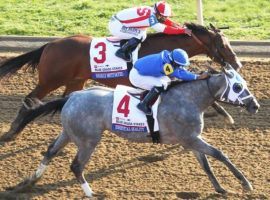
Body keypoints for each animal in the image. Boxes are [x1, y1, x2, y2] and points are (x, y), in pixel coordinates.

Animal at [0, 23, 240, 141]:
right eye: (222, 44)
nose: (236, 64)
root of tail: (49, 45)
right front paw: (227, 116)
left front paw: (224, 115)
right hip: (50, 81)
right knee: (30, 99)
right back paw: (12, 131)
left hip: (75, 81)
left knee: (64, 100)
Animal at [9, 64, 260, 197]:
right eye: (238, 86)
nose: (255, 106)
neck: (189, 98)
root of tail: (71, 96)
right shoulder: (191, 138)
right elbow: (219, 154)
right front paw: (245, 184)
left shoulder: (191, 140)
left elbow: (206, 164)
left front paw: (220, 188)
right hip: (88, 140)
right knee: (76, 165)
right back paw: (91, 193)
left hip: (70, 133)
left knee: (50, 151)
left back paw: (30, 181)